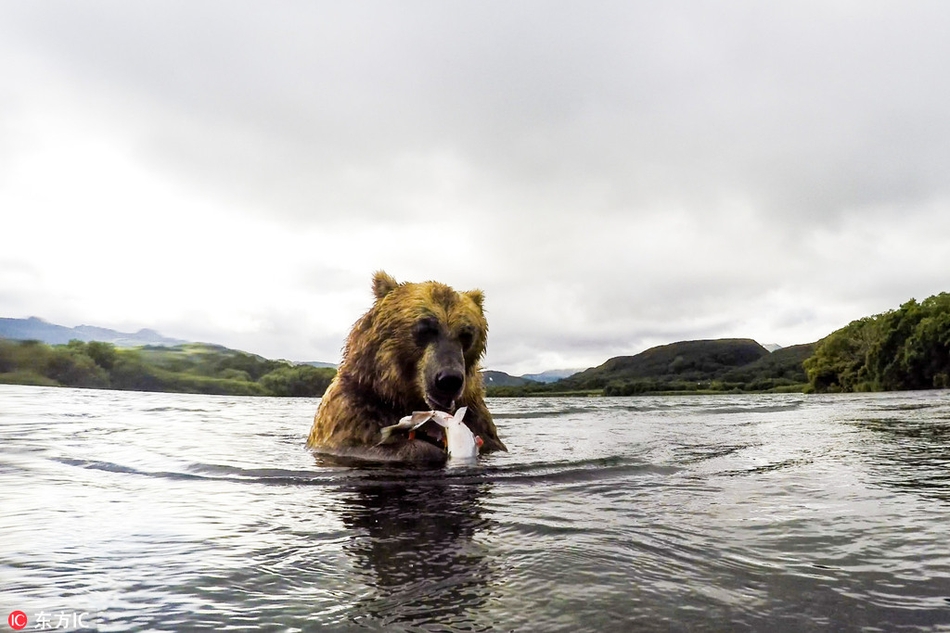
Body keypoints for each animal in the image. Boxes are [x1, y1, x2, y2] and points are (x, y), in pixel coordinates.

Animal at [310, 270, 506, 462]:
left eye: (466, 334)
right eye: (425, 329)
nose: (449, 380)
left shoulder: (475, 411)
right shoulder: (353, 407)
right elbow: (352, 443)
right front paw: (426, 448)